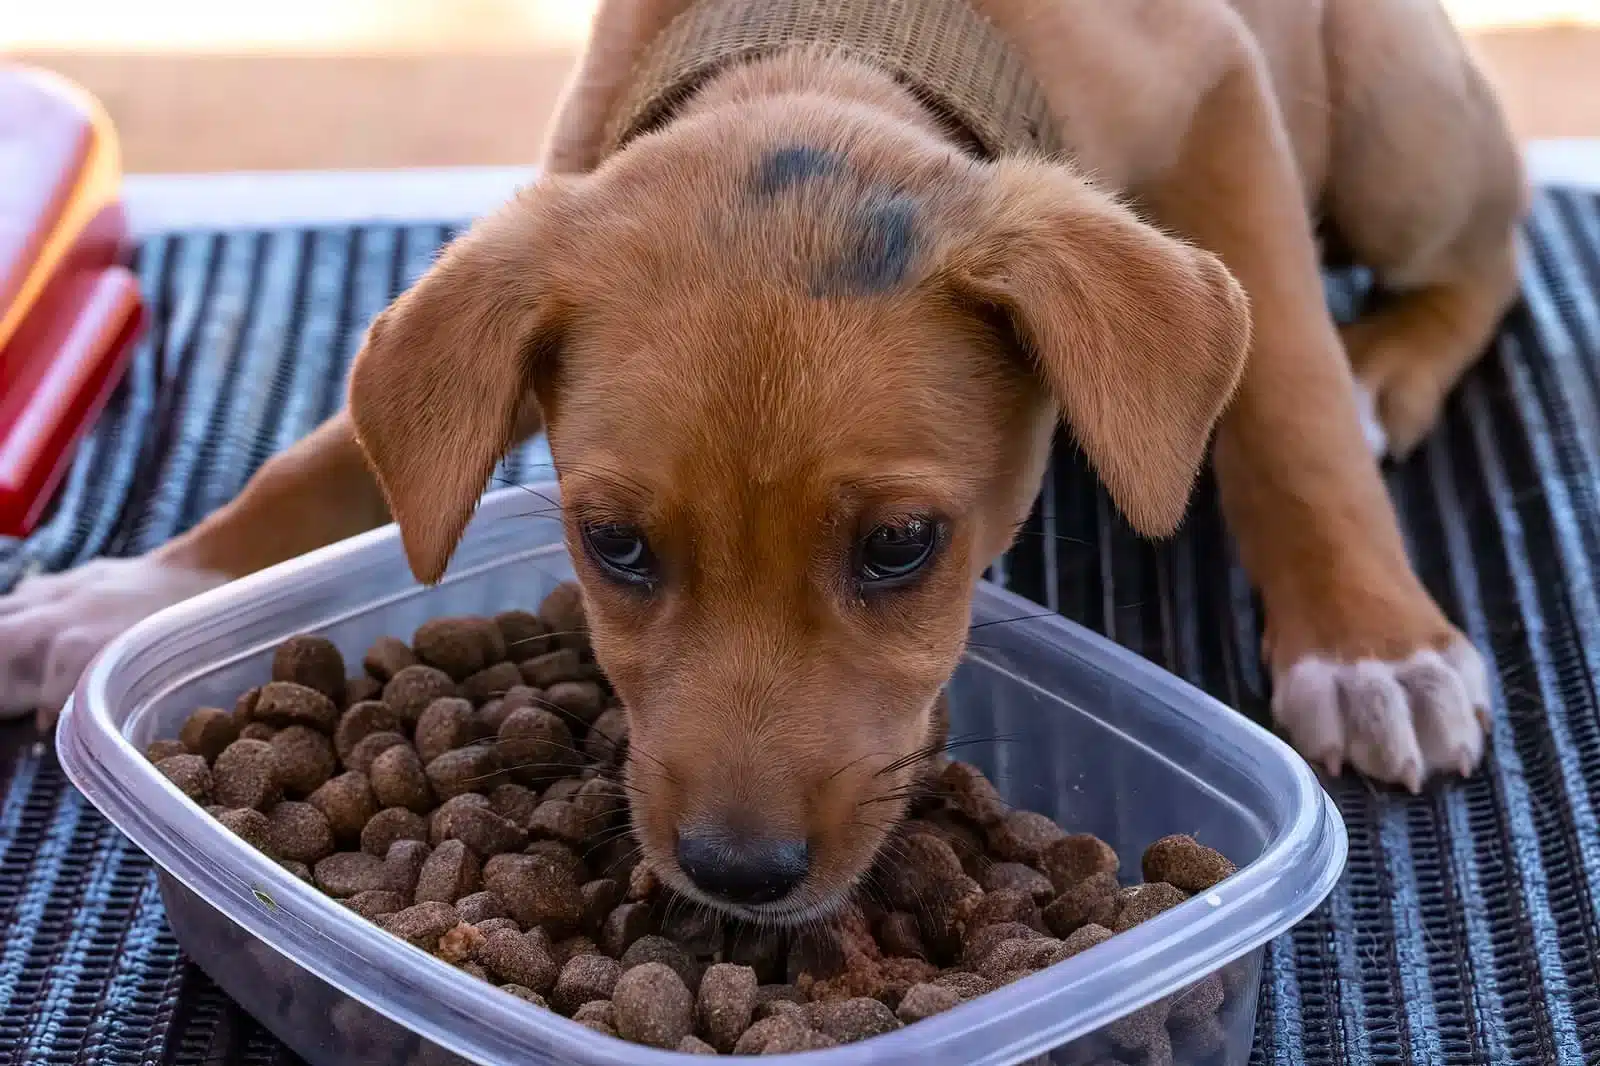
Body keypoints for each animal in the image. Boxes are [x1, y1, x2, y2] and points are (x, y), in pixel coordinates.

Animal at [0, 0, 1523, 915]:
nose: (739, 876)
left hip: (1400, 134)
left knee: (1482, 259)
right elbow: (329, 454)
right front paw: (128, 595)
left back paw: (1390, 368)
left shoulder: (1219, 96)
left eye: (902, 546)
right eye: (612, 544)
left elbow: (1286, 396)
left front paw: (1369, 643)